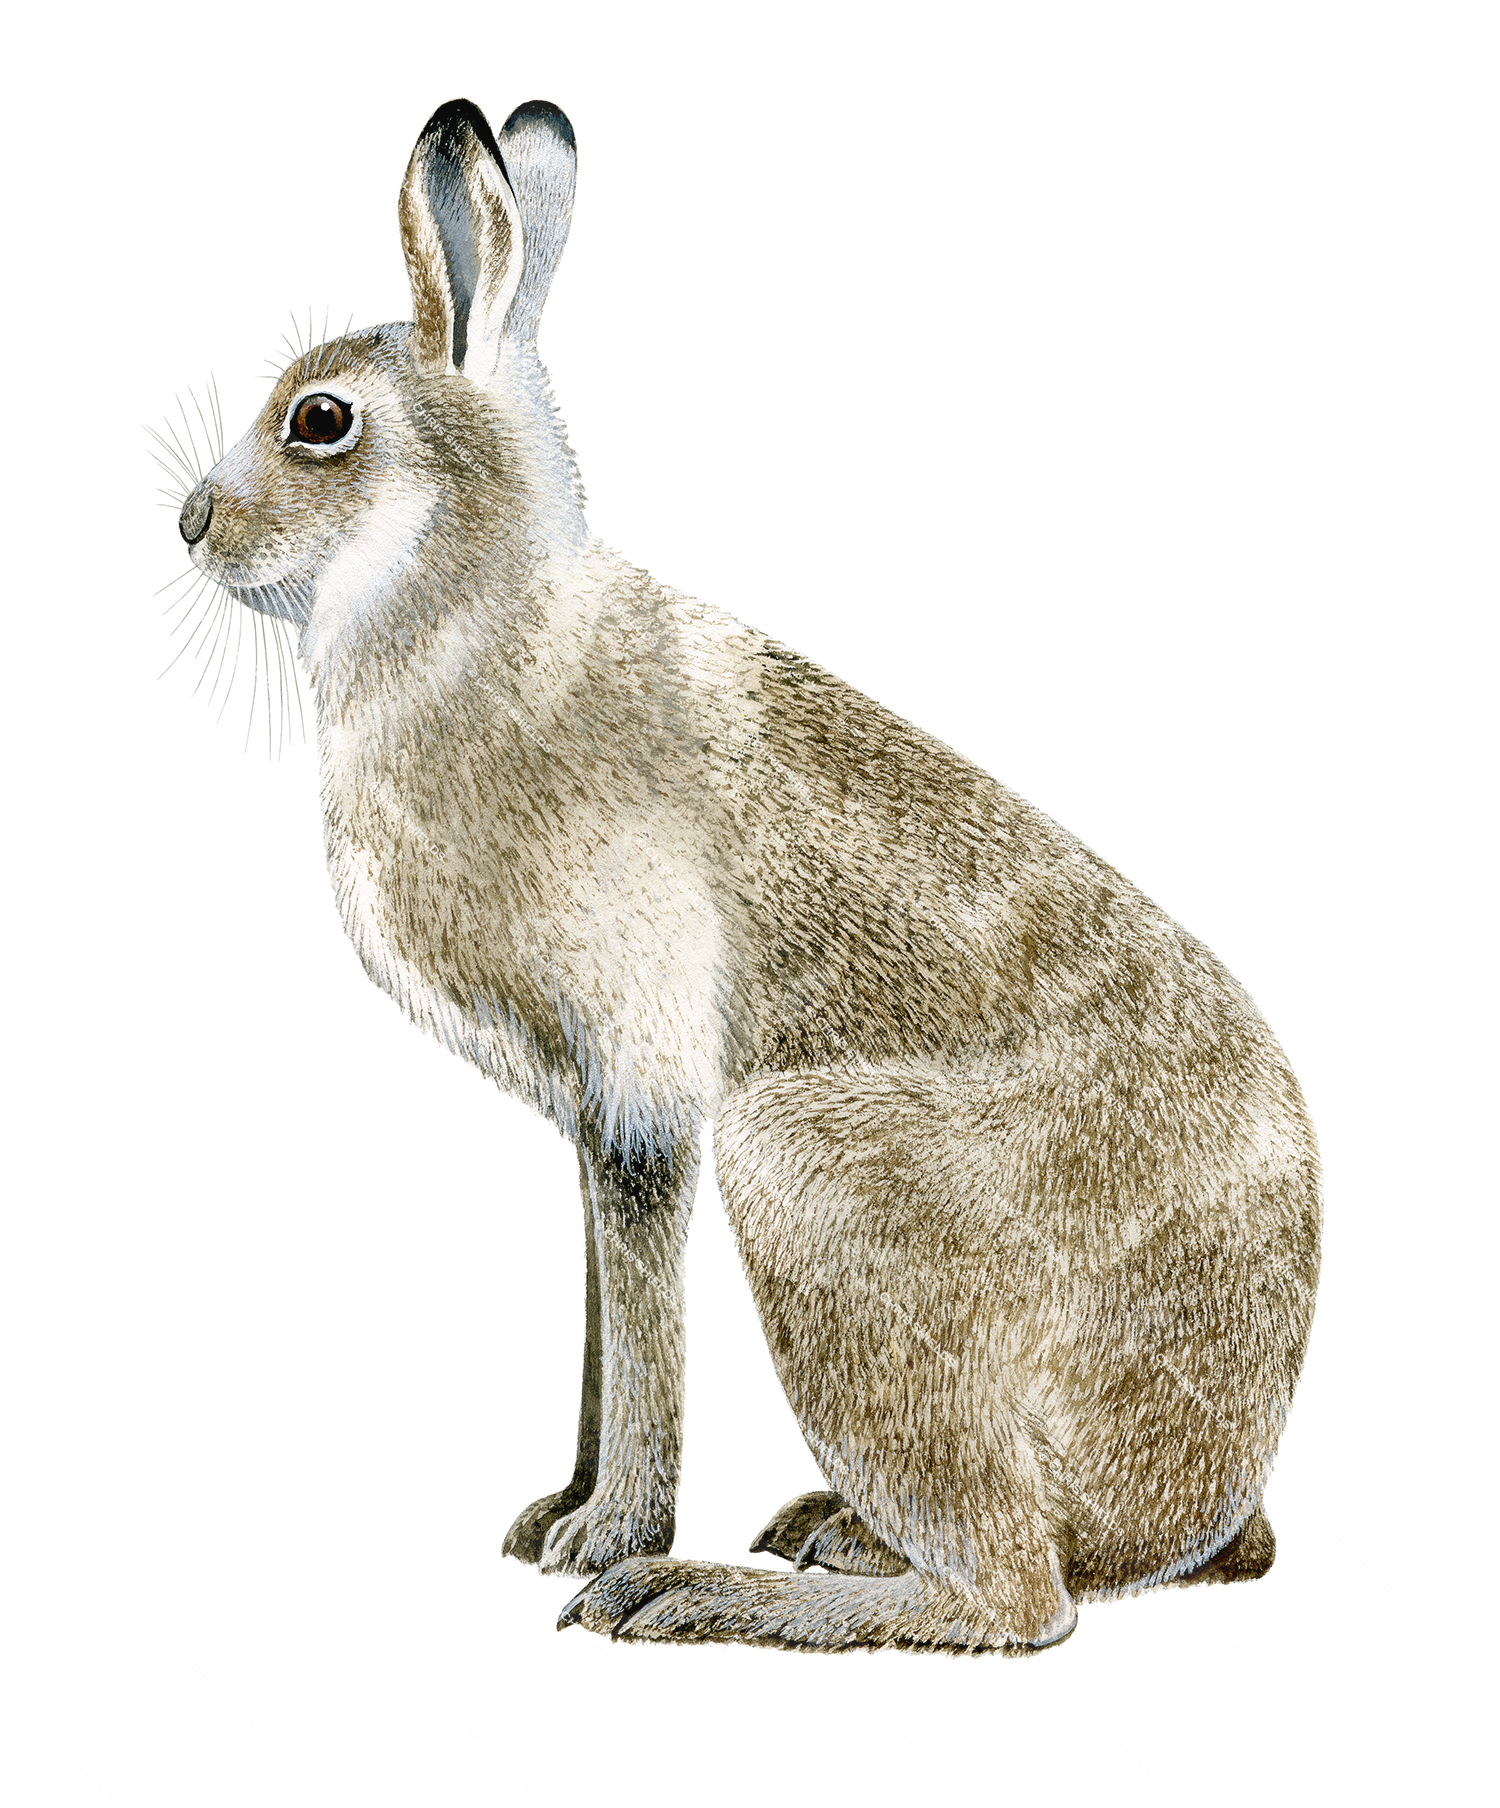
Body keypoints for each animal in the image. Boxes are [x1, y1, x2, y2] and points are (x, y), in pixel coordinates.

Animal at [174, 96, 1320, 1652]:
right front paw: (554, 1515)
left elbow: (646, 1319)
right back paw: (821, 1533)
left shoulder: (646, 1089)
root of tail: (1221, 1481)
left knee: (1021, 1599)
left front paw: (609, 1539)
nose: (188, 521)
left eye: (321, 420)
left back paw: (704, 1593)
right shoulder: (587, 1120)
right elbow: (602, 1311)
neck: (472, 618)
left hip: (813, 1178)